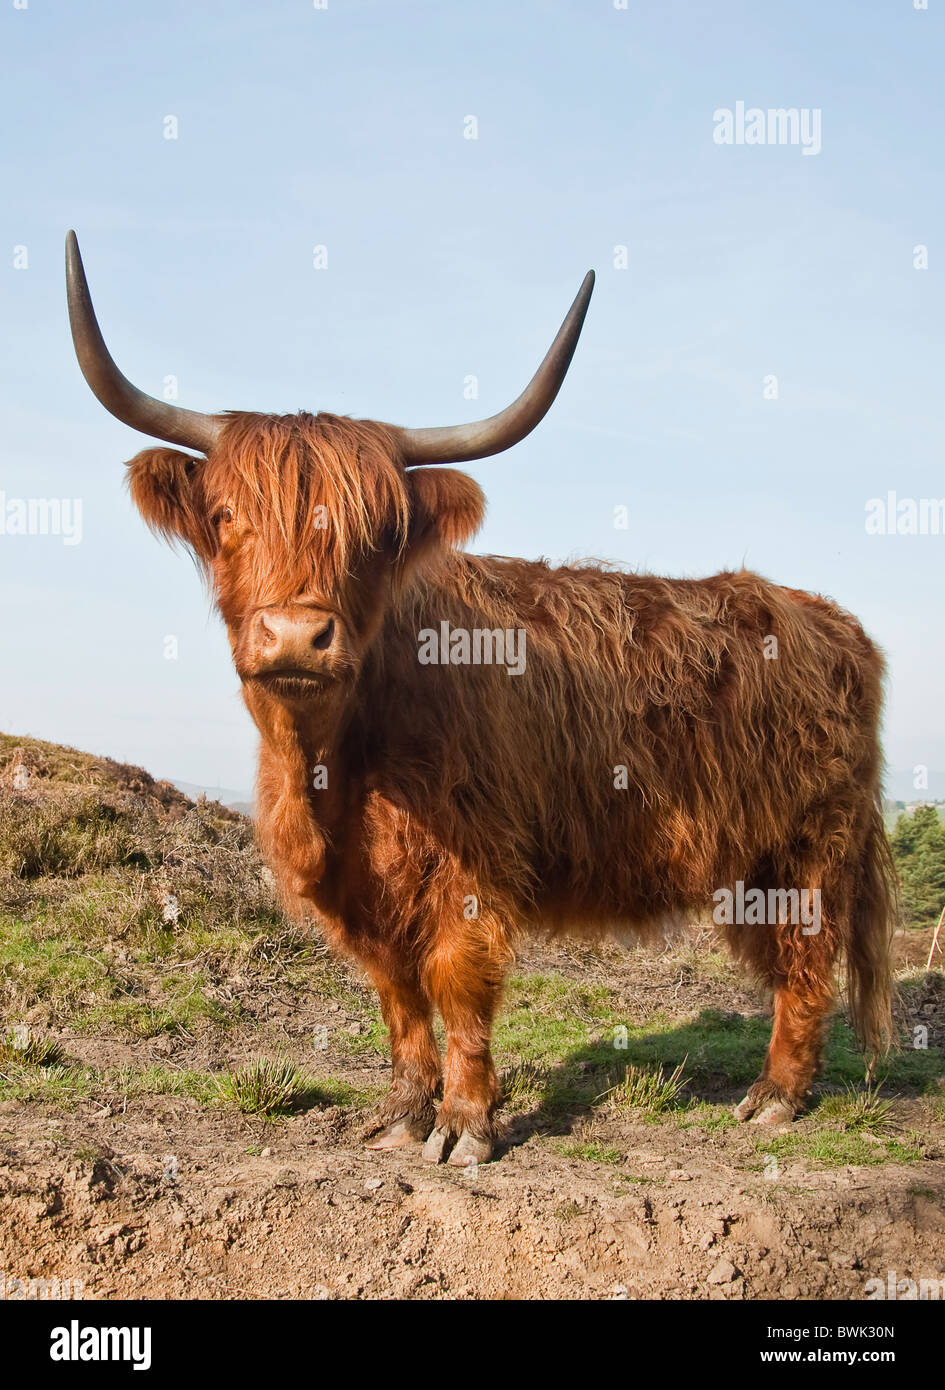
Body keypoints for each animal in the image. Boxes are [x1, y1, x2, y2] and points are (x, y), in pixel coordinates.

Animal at [65, 231, 894, 1166]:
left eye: (378, 533)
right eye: (226, 514)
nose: (295, 637)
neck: (327, 766)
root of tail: (826, 617)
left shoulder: (471, 866)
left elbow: (455, 983)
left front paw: (464, 1125)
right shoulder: (361, 893)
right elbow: (396, 998)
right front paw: (401, 1114)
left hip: (811, 849)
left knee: (806, 962)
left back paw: (775, 1097)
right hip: (752, 863)